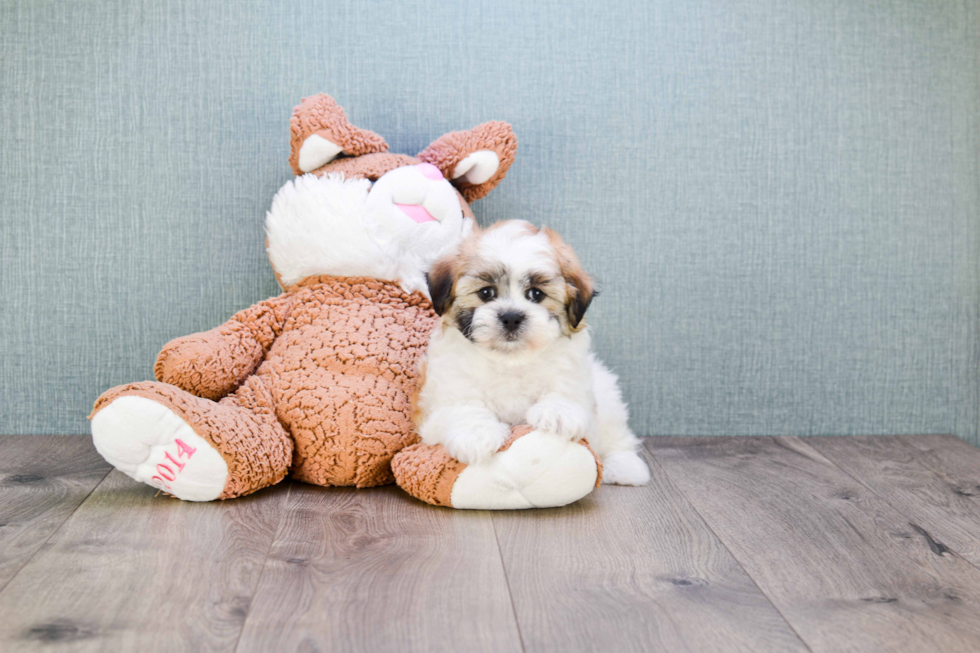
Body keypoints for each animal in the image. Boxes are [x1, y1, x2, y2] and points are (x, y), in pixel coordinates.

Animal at [416, 219, 652, 484]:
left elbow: (565, 392)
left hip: (607, 395)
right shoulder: (444, 395)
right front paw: (476, 435)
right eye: (486, 292)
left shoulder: (575, 379)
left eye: (536, 294)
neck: (510, 361)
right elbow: (462, 408)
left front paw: (557, 413)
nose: (511, 316)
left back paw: (625, 465)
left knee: (617, 435)